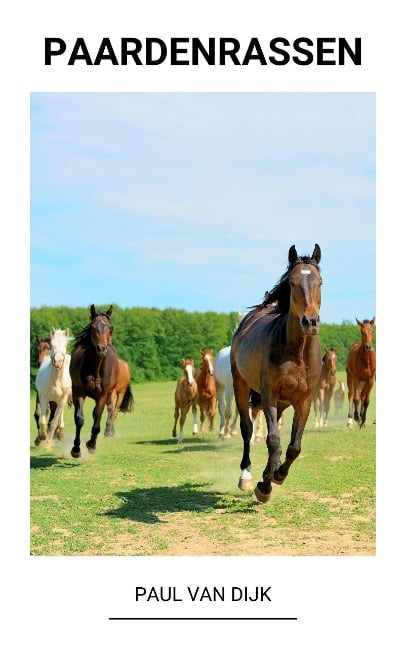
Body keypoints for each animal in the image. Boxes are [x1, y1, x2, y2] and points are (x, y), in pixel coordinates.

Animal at [69, 304, 133, 456]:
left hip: (116, 393)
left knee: (111, 411)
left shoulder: (103, 395)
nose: (102, 349)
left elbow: (97, 423)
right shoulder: (79, 392)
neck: (95, 369)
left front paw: (91, 445)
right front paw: (76, 449)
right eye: (93, 327)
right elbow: (79, 419)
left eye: (110, 327)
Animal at [232, 243, 324, 502]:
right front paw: (264, 486)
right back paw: (246, 476)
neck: (297, 353)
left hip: (282, 403)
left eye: (320, 282)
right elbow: (273, 441)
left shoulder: (304, 401)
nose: (310, 322)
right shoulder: (269, 396)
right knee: (247, 429)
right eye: (292, 282)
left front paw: (276, 476)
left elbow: (293, 447)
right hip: (240, 385)